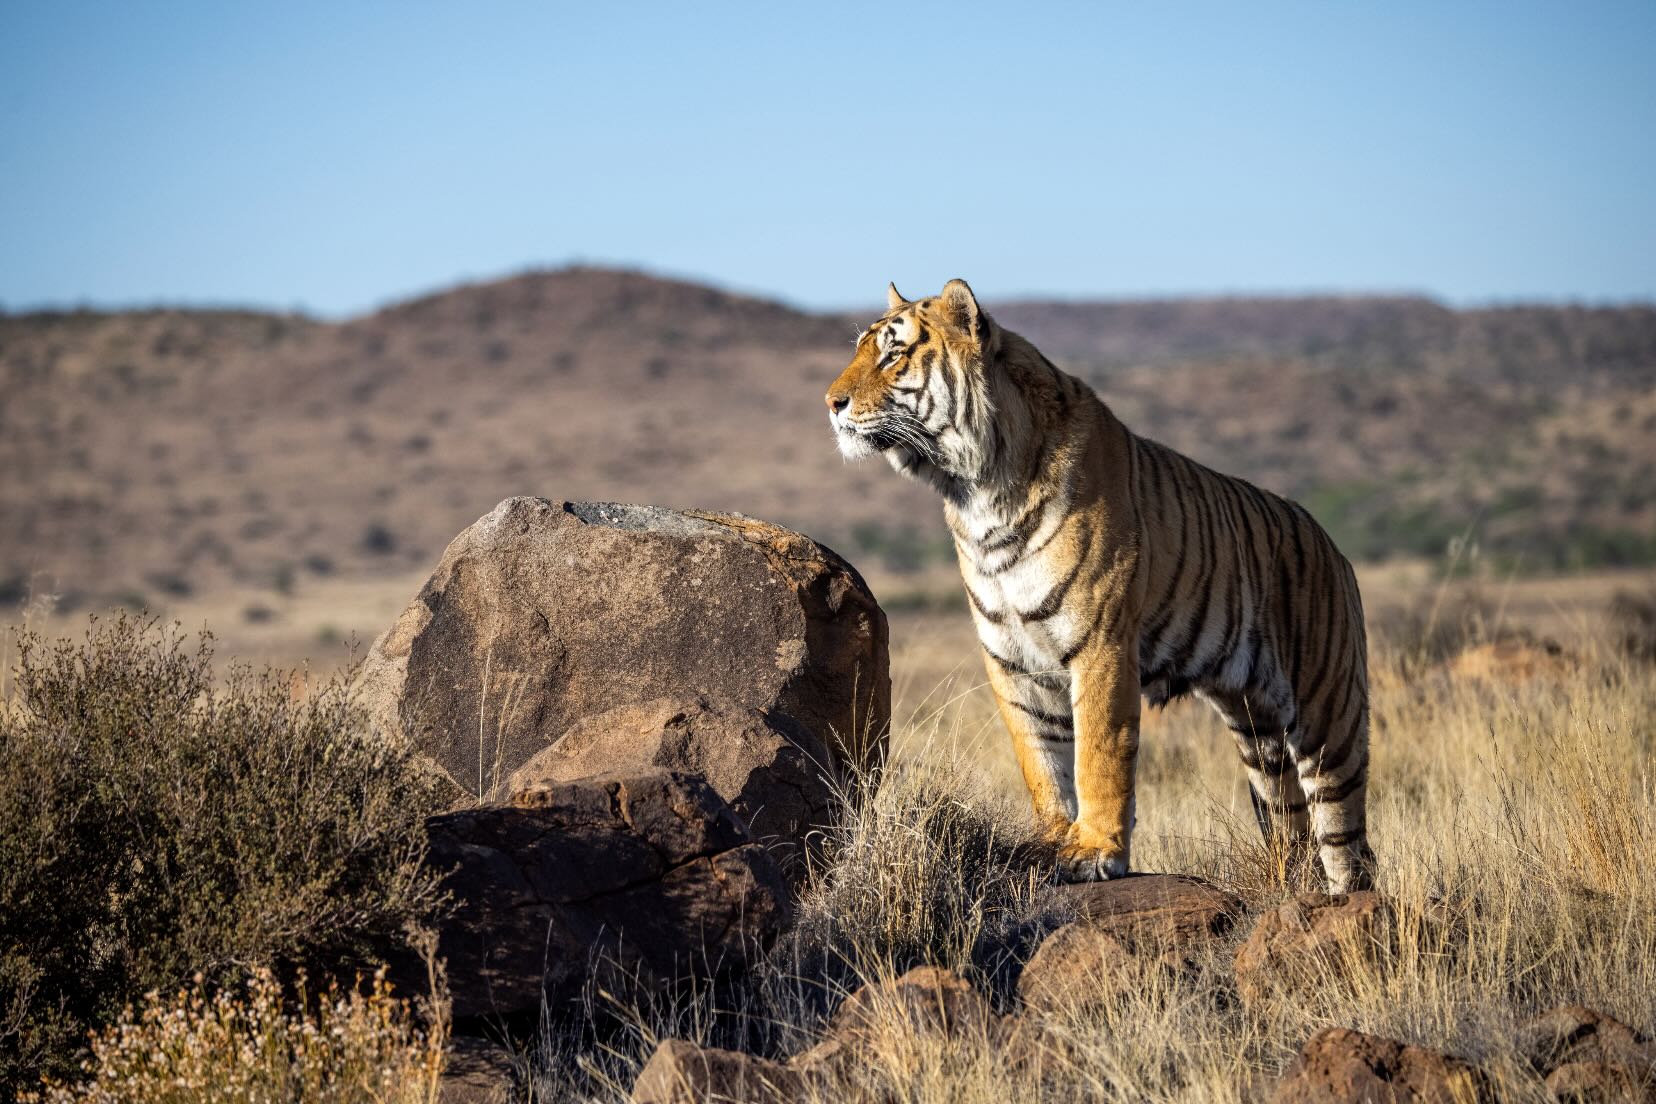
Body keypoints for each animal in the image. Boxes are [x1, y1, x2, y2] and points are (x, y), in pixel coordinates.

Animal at [825, 279, 1374, 892]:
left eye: (893, 354)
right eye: (861, 349)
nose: (831, 403)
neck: (976, 493)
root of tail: (1333, 546)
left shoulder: (1101, 644)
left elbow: (1098, 754)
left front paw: (1095, 852)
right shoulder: (1011, 659)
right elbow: (1041, 761)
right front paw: (1050, 843)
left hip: (1327, 717)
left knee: (1348, 843)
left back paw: (1348, 901)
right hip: (1259, 736)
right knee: (1291, 829)